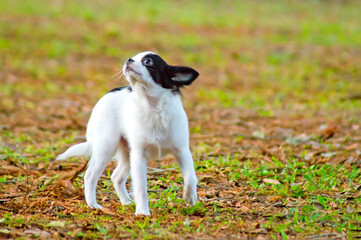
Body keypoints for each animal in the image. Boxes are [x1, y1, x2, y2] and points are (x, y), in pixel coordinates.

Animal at [56, 51, 198, 216]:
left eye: (148, 62)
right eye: (134, 57)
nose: (128, 60)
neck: (152, 107)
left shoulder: (182, 151)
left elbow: (190, 176)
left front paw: (190, 197)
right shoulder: (138, 156)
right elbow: (141, 188)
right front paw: (143, 212)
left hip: (125, 152)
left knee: (116, 177)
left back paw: (126, 202)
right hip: (106, 147)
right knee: (90, 175)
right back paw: (93, 205)